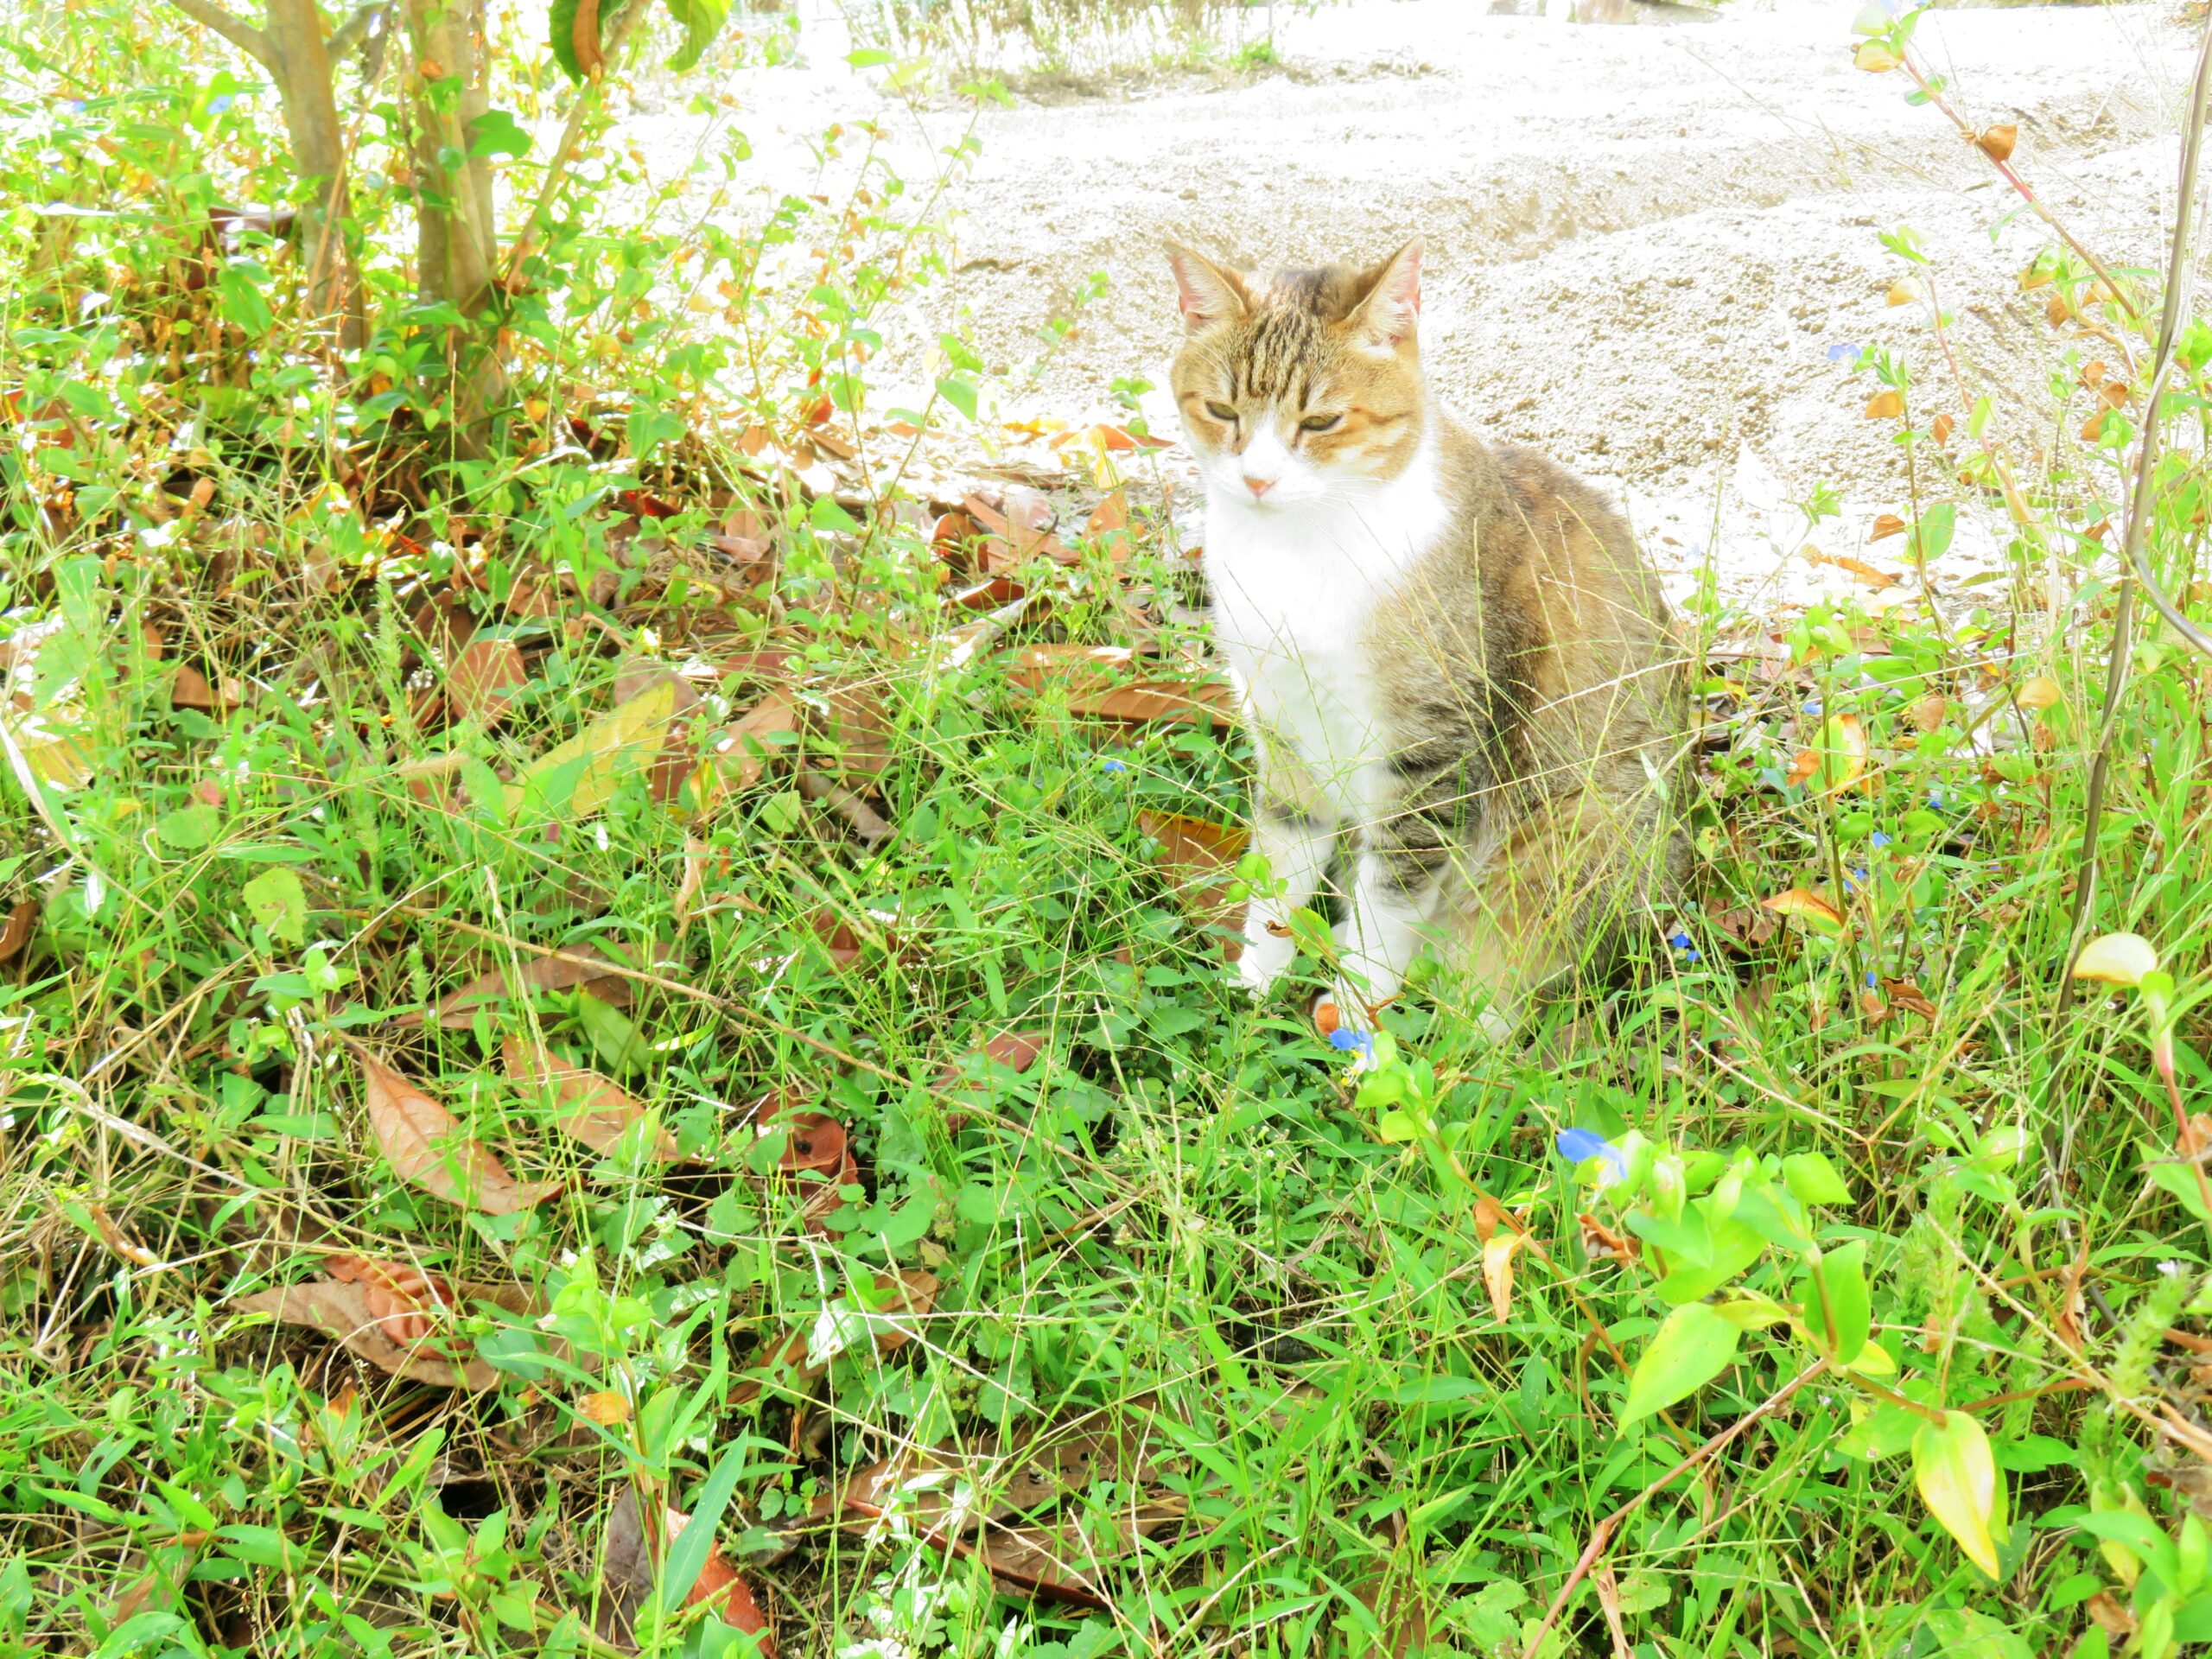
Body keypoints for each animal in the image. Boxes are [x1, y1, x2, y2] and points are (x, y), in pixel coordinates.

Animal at [1167, 236, 1681, 1039]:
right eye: (1221, 410)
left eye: (1322, 422)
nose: (1256, 480)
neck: (1296, 549)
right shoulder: (1285, 731)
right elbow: (1279, 872)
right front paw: (1254, 985)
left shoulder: (1433, 755)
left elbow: (1390, 901)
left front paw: (1355, 1020)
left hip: (1577, 834)